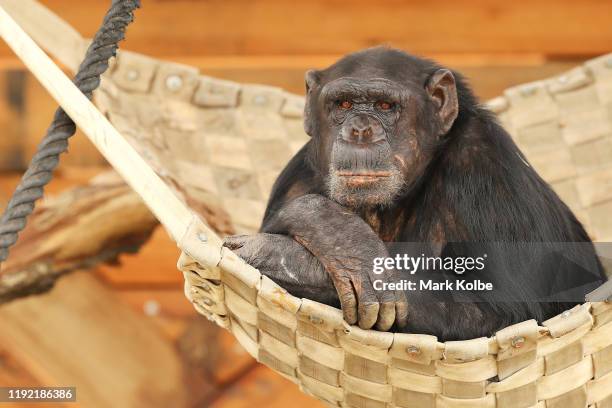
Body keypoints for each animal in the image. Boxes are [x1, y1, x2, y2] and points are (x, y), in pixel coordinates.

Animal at [222, 47, 604, 342]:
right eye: (342, 104)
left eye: (385, 106)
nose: (360, 129)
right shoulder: (297, 175)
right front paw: (331, 231)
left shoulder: (485, 163)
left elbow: (508, 311)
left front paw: (295, 255)